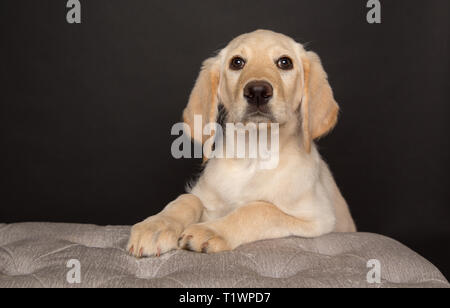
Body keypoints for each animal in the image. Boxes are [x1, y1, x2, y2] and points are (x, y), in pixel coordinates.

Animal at [126, 29, 356, 258]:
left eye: (285, 62)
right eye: (237, 62)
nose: (257, 91)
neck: (253, 156)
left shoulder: (317, 218)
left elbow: (259, 209)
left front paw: (212, 230)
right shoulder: (206, 199)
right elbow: (187, 199)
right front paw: (156, 225)